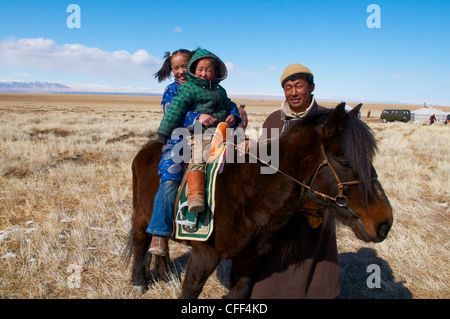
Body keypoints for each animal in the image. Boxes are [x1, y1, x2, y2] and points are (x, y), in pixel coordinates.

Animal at [125, 104, 392, 298]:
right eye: (345, 162)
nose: (385, 222)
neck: (251, 193)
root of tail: (147, 149)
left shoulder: (249, 260)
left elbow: (239, 292)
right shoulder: (204, 255)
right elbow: (190, 290)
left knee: (160, 241)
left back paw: (163, 272)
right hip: (140, 216)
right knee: (140, 242)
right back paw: (139, 281)